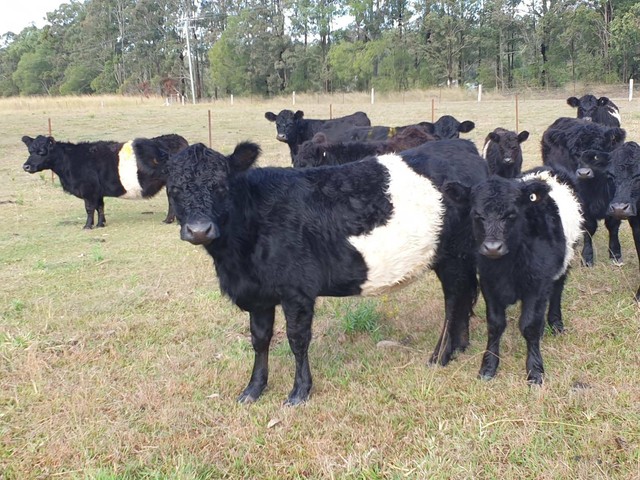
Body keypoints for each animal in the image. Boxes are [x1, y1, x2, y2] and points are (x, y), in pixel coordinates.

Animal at [21, 133, 189, 229]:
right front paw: (101, 224)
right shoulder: (97, 192)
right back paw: (168, 220)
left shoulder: (88, 190)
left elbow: (89, 209)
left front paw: (88, 226)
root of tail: (177, 138)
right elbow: (100, 207)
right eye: (29, 150)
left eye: (41, 152)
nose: (26, 166)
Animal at [165, 139, 488, 405]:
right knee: (464, 297)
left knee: (454, 301)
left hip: (453, 257)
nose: (199, 230)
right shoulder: (258, 294)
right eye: (174, 189)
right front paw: (253, 389)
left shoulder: (296, 291)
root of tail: (464, 147)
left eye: (221, 186)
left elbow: (297, 340)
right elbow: (259, 339)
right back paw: (460, 347)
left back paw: (440, 355)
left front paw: (299, 392)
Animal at [442, 168, 583, 384]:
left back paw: (555, 323)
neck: (507, 267)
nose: (493, 248)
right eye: (477, 215)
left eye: (511, 215)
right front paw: (488, 367)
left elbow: (529, 325)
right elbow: (495, 324)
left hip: (566, 259)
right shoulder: (488, 283)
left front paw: (535, 371)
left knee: (557, 290)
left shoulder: (537, 285)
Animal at [541, 117, 626, 266]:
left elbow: (613, 225)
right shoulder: (582, 202)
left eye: (597, 153)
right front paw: (587, 257)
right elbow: (589, 227)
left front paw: (616, 255)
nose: (584, 173)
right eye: (575, 153)